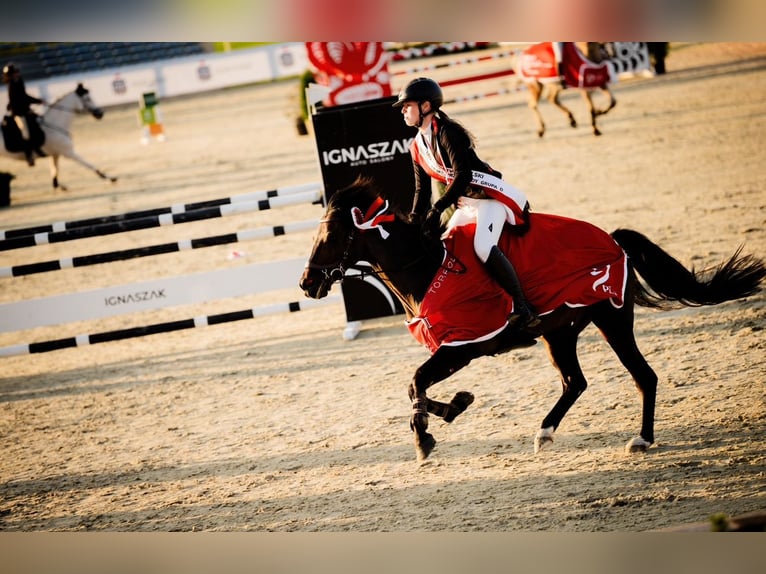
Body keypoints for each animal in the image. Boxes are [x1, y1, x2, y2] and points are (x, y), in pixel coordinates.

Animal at [300, 178, 766, 462]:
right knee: (575, 382)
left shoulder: (461, 347)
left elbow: (415, 382)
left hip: (613, 321)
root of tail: (613, 239)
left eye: (333, 235)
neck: (429, 270)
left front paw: (426, 436)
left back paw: (641, 439)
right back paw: (544, 432)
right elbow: (416, 386)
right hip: (558, 334)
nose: (307, 283)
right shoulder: (454, 350)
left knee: (643, 376)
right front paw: (454, 408)